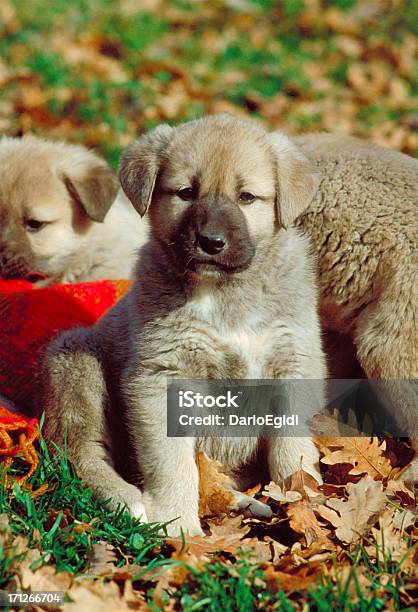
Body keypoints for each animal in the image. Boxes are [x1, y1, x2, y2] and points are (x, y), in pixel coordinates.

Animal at [44, 115, 328, 536]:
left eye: (246, 197)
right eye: (186, 193)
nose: (211, 241)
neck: (226, 297)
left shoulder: (293, 360)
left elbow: (291, 449)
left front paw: (303, 499)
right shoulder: (161, 374)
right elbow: (172, 464)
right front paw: (178, 526)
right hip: (76, 363)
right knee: (81, 451)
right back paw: (128, 501)